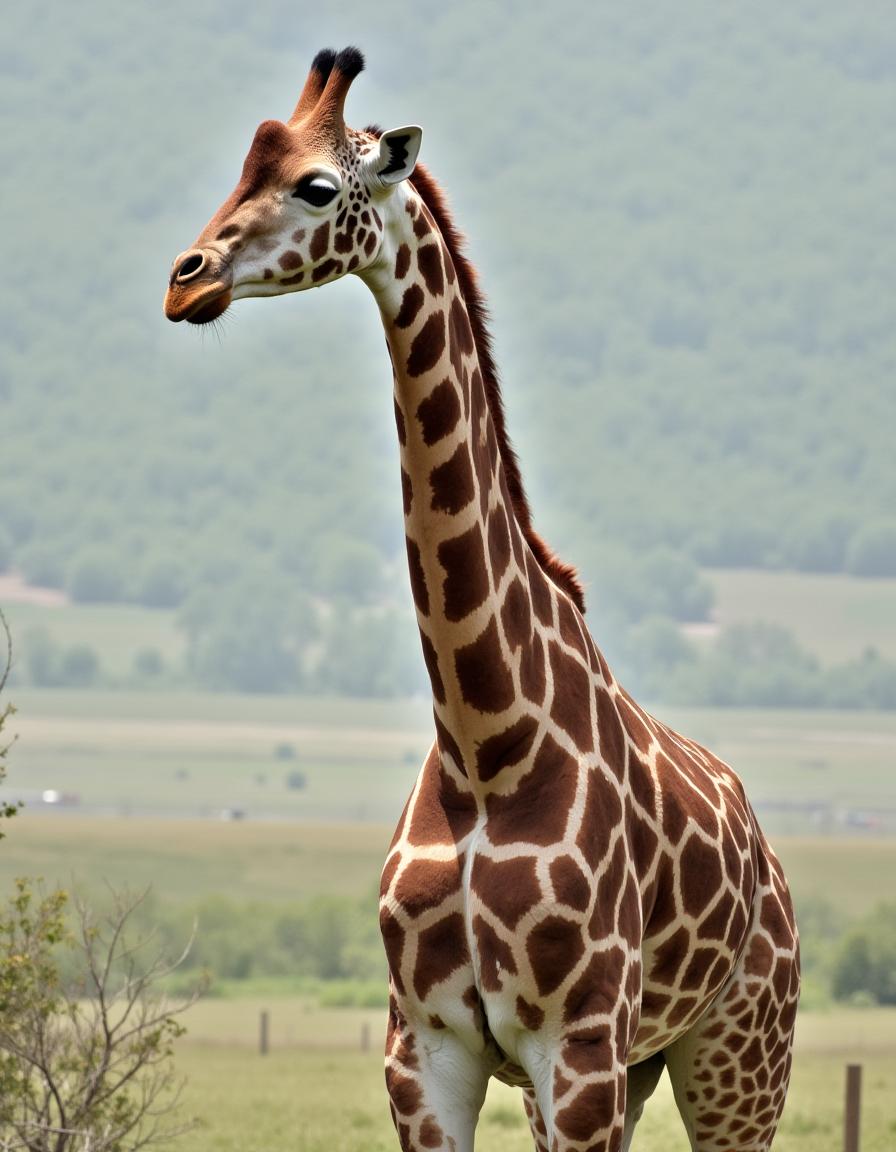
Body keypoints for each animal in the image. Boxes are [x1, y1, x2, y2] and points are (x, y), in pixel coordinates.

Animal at [164, 48, 800, 1152]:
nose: (184, 280)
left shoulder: (574, 1052)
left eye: (316, 186)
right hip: (643, 1069)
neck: (484, 740)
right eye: (246, 167)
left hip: (739, 1058)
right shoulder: (422, 1053)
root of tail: (771, 863)